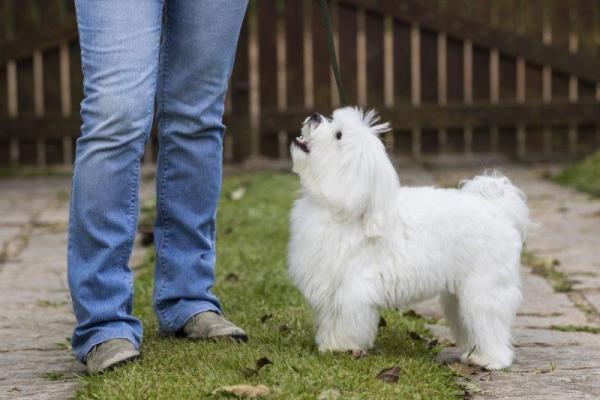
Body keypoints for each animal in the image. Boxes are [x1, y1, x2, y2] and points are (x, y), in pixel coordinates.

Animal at [288, 108, 528, 370]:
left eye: (338, 135)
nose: (314, 115)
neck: (346, 209)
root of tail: (497, 208)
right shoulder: (331, 285)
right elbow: (331, 319)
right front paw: (330, 345)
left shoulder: (353, 288)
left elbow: (346, 320)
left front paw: (342, 347)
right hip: (459, 295)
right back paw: (473, 353)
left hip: (484, 287)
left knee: (490, 321)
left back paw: (492, 359)